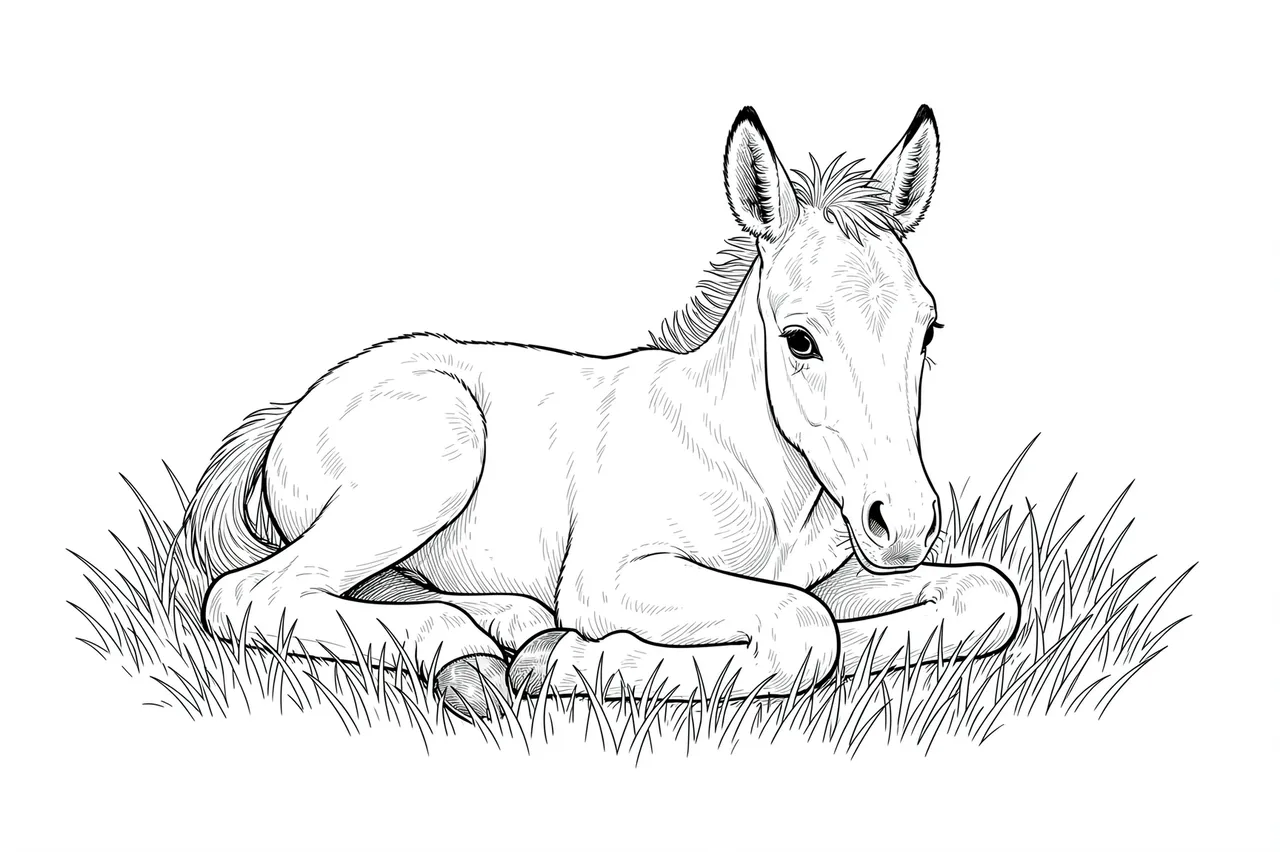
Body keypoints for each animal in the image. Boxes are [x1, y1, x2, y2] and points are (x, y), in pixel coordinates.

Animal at [184, 105, 1020, 720]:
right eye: (800, 340)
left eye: (928, 330)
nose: (903, 524)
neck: (757, 475)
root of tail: (286, 416)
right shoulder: (612, 576)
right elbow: (805, 630)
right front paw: (572, 661)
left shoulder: (840, 577)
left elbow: (983, 596)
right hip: (436, 455)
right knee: (254, 594)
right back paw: (476, 658)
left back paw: (509, 628)